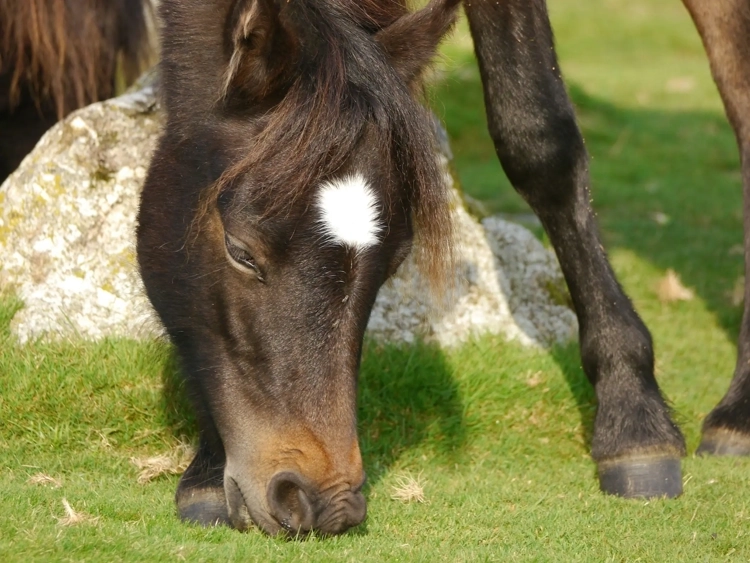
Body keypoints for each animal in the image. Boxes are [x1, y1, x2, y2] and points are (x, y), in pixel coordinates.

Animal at [137, 0, 750, 536]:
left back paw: (737, 413)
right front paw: (207, 469)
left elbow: (538, 139)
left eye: (394, 262)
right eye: (241, 251)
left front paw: (633, 418)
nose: (324, 502)